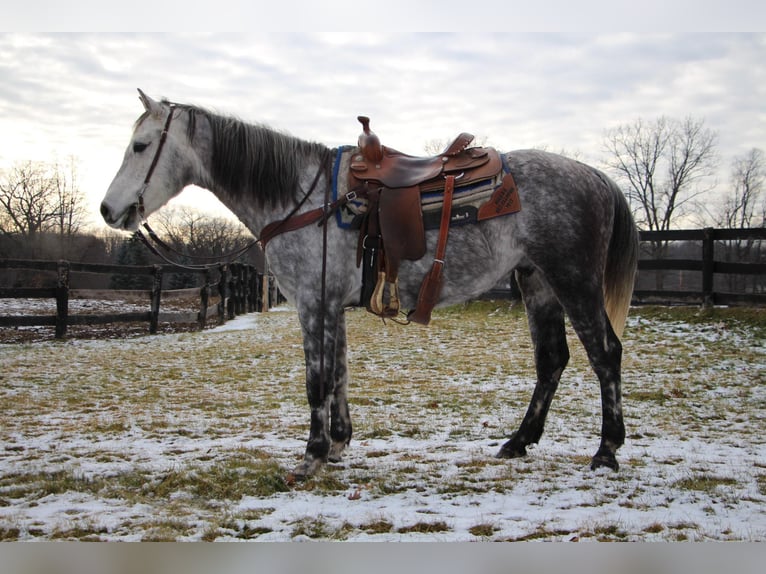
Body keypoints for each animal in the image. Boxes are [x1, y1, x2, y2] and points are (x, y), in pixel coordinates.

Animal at [103, 92, 640, 480]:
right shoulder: (331, 306)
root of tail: (595, 177)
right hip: (539, 284)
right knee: (552, 360)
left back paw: (606, 451)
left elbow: (317, 380)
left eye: (141, 146)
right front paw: (339, 443)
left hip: (574, 281)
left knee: (604, 354)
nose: (109, 210)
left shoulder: (313, 304)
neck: (303, 199)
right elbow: (339, 373)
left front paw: (312, 456)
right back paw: (518, 442)